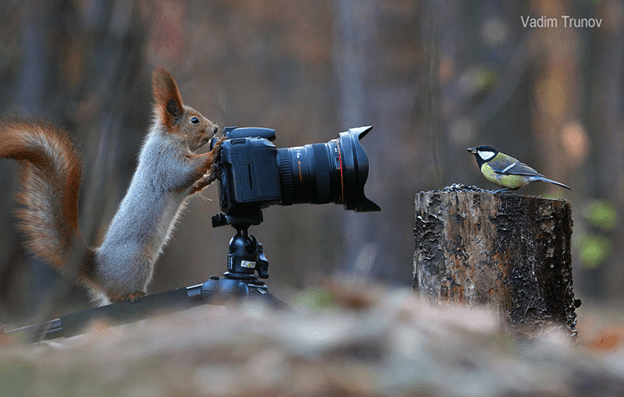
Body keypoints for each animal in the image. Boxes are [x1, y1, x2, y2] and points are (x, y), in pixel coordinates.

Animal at [0, 66, 227, 304]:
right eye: (194, 121)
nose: (215, 128)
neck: (169, 137)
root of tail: (99, 272)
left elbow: (190, 185)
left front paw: (211, 175)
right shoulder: (164, 160)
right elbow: (183, 173)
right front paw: (215, 150)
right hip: (139, 263)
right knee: (117, 295)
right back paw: (132, 295)